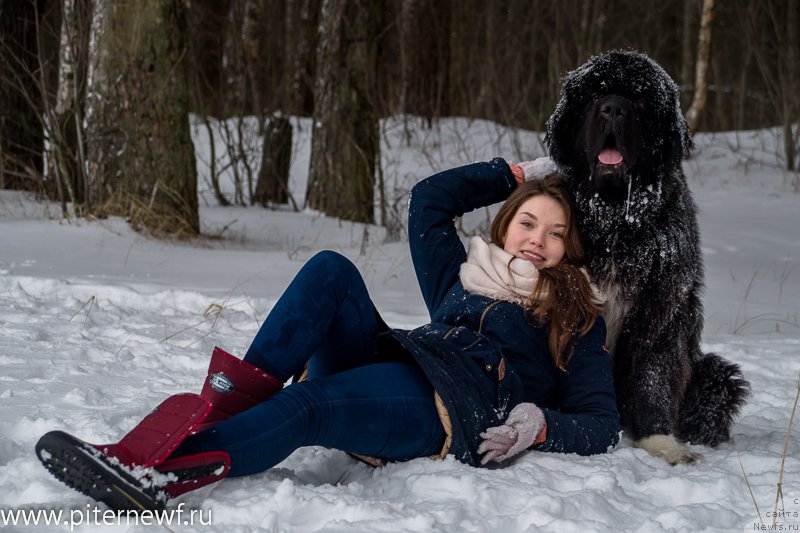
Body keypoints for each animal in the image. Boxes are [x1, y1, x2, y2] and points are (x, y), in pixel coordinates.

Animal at [544, 51, 752, 466]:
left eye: (640, 101)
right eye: (596, 95)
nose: (613, 108)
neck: (614, 219)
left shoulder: (660, 312)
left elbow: (651, 377)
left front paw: (663, 444)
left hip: (714, 375)